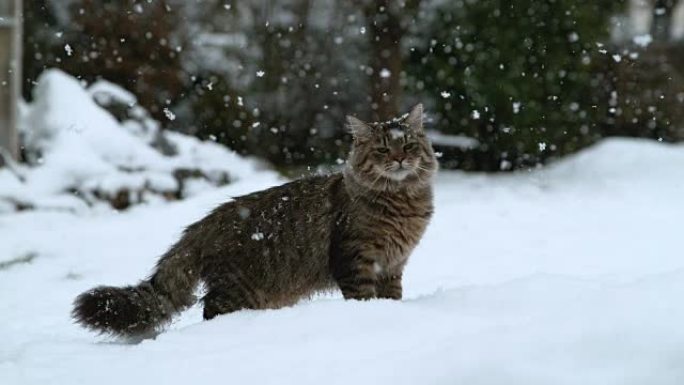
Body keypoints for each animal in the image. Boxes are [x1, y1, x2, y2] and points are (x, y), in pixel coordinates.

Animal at [73, 103, 438, 336]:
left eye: (407, 144)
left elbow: (393, 297)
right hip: (237, 288)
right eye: (382, 149)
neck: (401, 203)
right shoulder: (354, 259)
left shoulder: (393, 265)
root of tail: (205, 222)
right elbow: (362, 297)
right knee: (211, 310)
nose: (399, 158)